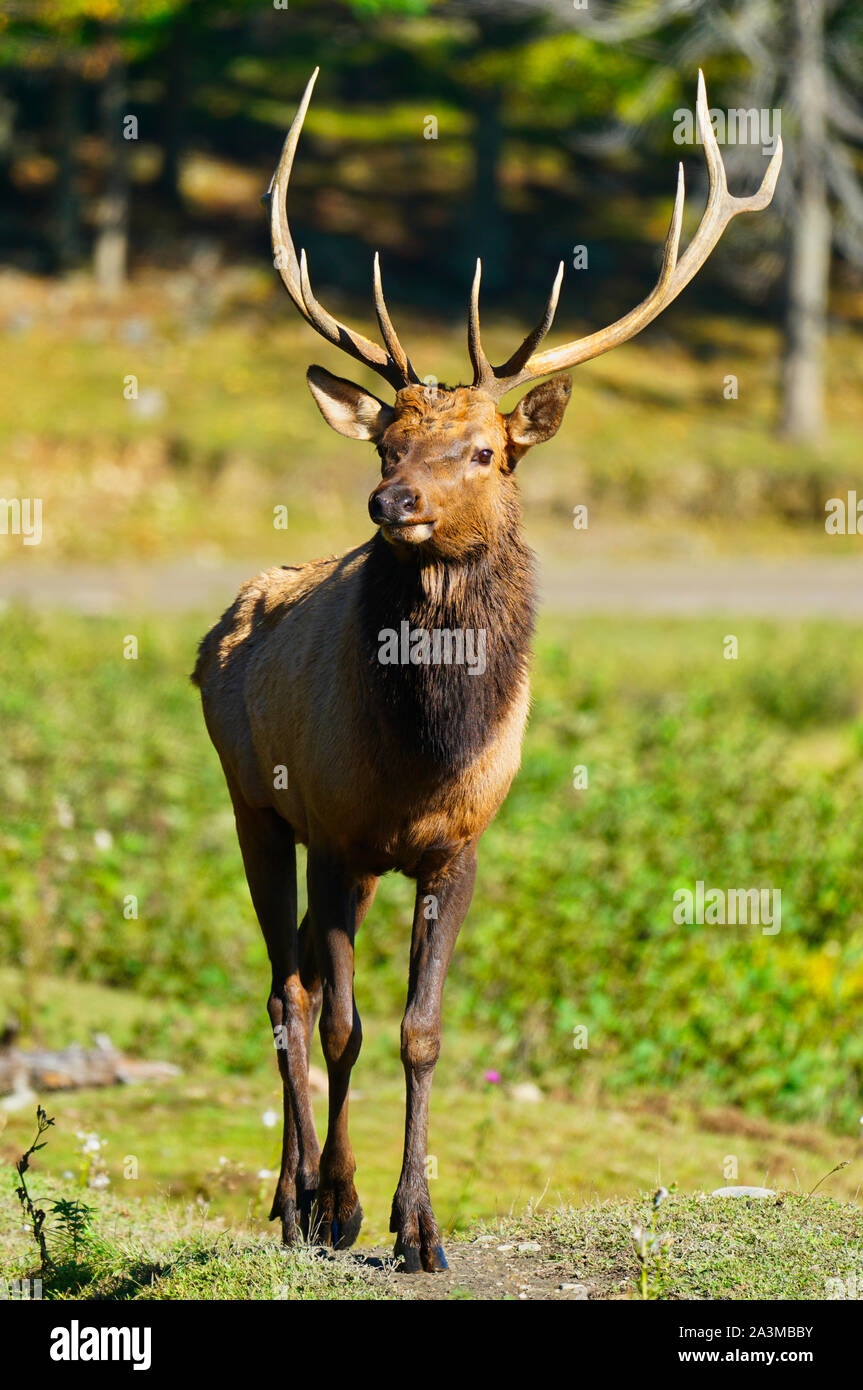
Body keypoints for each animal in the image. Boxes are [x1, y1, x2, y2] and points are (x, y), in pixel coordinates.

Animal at [193, 70, 778, 1273]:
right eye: (383, 443)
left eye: (482, 451)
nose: (391, 502)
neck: (425, 749)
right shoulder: (337, 830)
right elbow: (342, 1021)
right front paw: (342, 1206)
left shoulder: (454, 843)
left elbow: (419, 1030)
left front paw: (418, 1226)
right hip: (253, 805)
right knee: (284, 989)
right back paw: (290, 1199)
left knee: (302, 982)